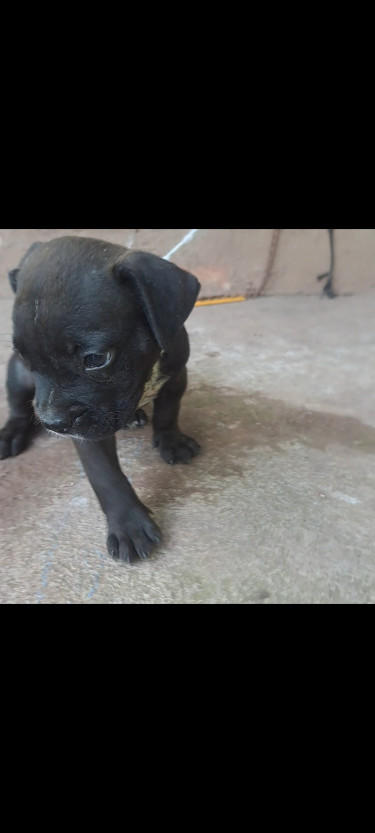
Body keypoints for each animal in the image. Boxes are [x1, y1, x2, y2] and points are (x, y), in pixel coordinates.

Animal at [0, 236, 203, 560]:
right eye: (26, 357)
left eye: (96, 358)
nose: (52, 422)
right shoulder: (87, 432)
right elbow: (105, 475)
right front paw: (130, 525)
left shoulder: (176, 374)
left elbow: (169, 410)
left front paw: (172, 439)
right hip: (17, 379)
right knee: (17, 408)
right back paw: (10, 434)